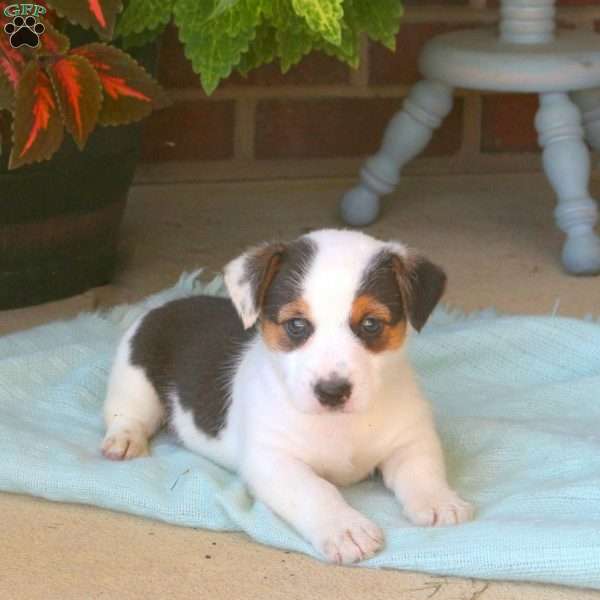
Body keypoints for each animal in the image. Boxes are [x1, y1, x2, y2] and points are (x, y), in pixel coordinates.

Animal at [104, 229, 478, 564]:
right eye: (297, 325)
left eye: (371, 324)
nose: (332, 392)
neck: (340, 426)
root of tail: (165, 305)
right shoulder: (273, 461)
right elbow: (316, 491)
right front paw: (345, 529)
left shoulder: (411, 440)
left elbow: (422, 472)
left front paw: (439, 501)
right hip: (134, 379)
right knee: (125, 413)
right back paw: (124, 439)